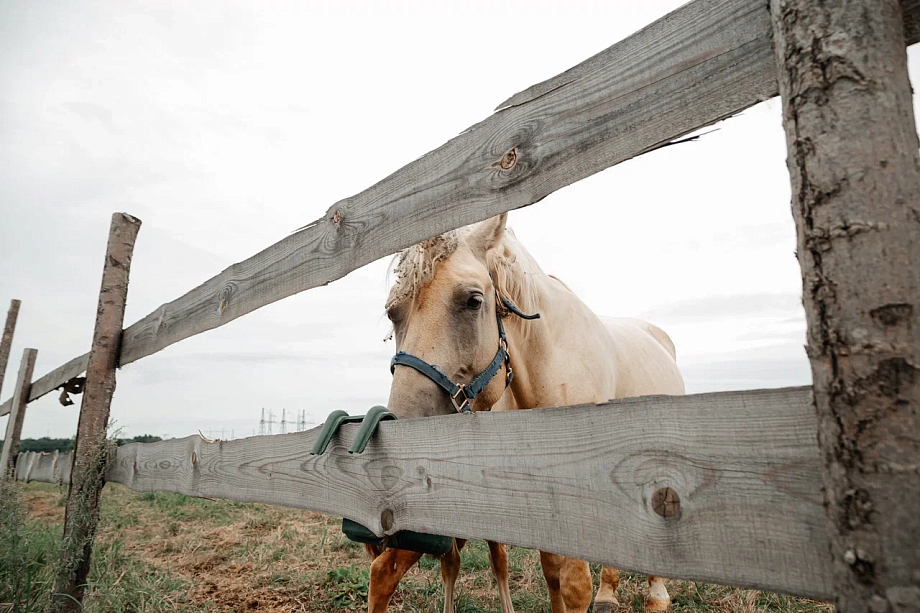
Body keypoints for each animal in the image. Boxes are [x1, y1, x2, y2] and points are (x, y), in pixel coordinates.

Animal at [372, 212, 684, 612]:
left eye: (473, 301)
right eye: (393, 312)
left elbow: (574, 585)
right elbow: (551, 571)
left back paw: (656, 595)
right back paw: (608, 594)